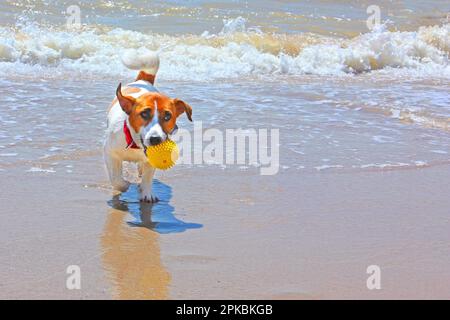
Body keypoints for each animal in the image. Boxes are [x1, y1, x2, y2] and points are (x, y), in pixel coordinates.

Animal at [104, 50, 192, 202]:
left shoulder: (150, 161)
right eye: (144, 114)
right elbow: (116, 179)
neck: (135, 144)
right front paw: (125, 185)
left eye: (167, 116)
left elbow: (147, 176)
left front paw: (146, 192)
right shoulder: (110, 153)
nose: (155, 139)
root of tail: (142, 81)